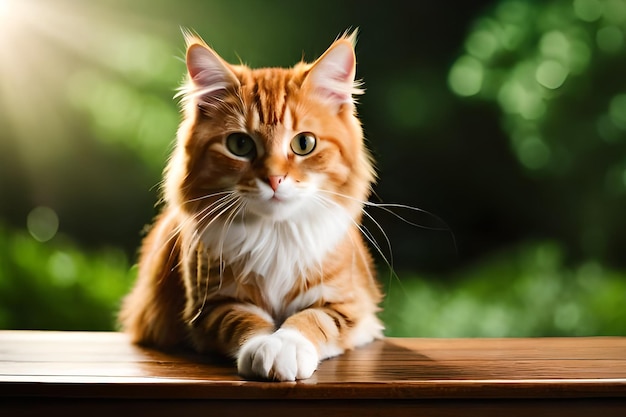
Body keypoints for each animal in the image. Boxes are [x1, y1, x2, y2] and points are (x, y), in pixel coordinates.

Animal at [116, 29, 380, 380]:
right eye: (240, 144)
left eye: (304, 143)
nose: (274, 178)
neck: (276, 234)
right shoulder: (210, 305)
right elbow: (244, 319)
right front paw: (265, 350)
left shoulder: (350, 305)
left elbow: (312, 319)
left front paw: (287, 347)